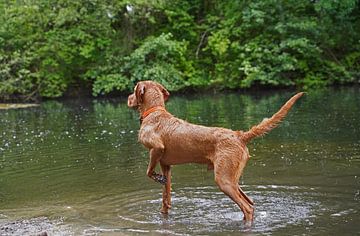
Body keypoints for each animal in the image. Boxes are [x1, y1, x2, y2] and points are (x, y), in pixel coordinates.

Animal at [128, 80, 302, 221]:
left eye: (134, 89)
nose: (128, 98)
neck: (154, 112)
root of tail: (240, 135)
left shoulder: (156, 149)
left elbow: (148, 171)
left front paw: (156, 177)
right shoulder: (166, 165)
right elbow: (166, 198)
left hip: (223, 180)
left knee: (247, 208)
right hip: (232, 179)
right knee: (250, 201)